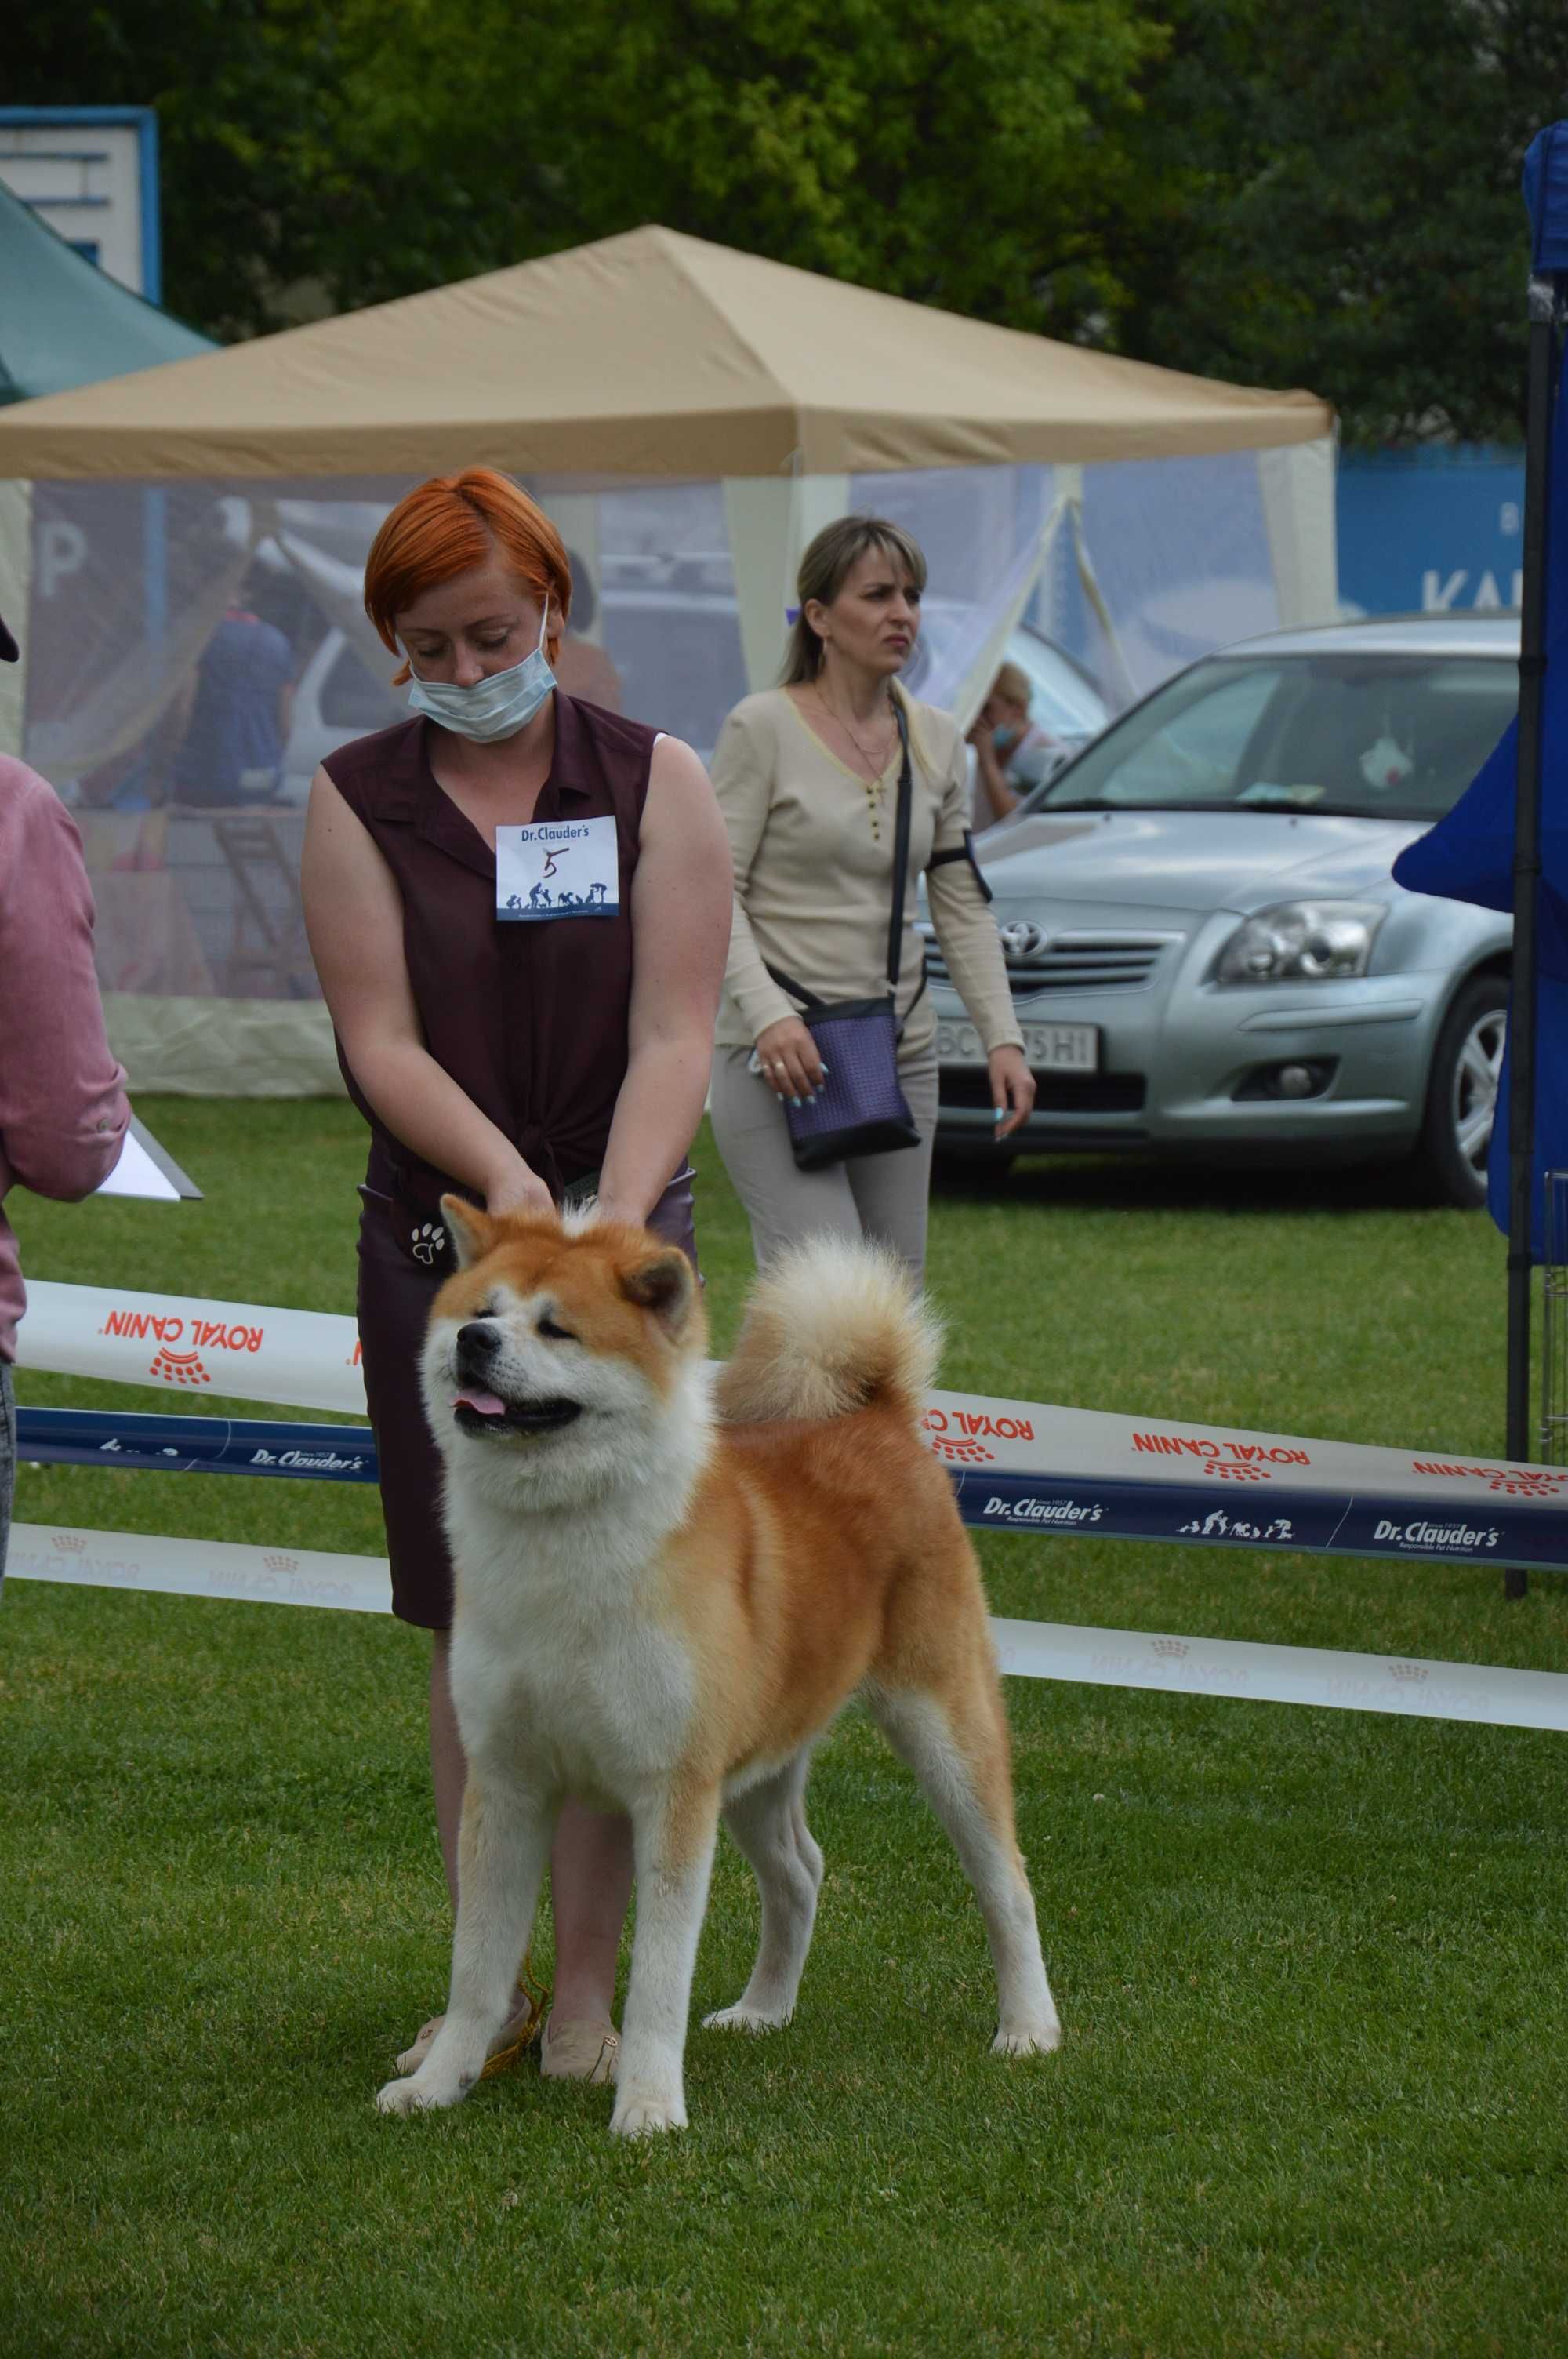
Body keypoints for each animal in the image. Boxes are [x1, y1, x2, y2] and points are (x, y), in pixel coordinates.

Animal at [377, 1198, 1056, 2142]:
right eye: (480, 1309)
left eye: (555, 1327)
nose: (476, 1342)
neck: (560, 1549)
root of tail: (879, 1415)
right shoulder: (507, 1782)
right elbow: (476, 1968)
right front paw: (440, 2082)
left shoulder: (673, 1789)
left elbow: (658, 1979)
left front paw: (649, 2106)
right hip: (755, 1768)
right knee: (801, 1872)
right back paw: (764, 2009)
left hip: (941, 1728)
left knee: (1006, 1884)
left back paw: (1028, 2027)